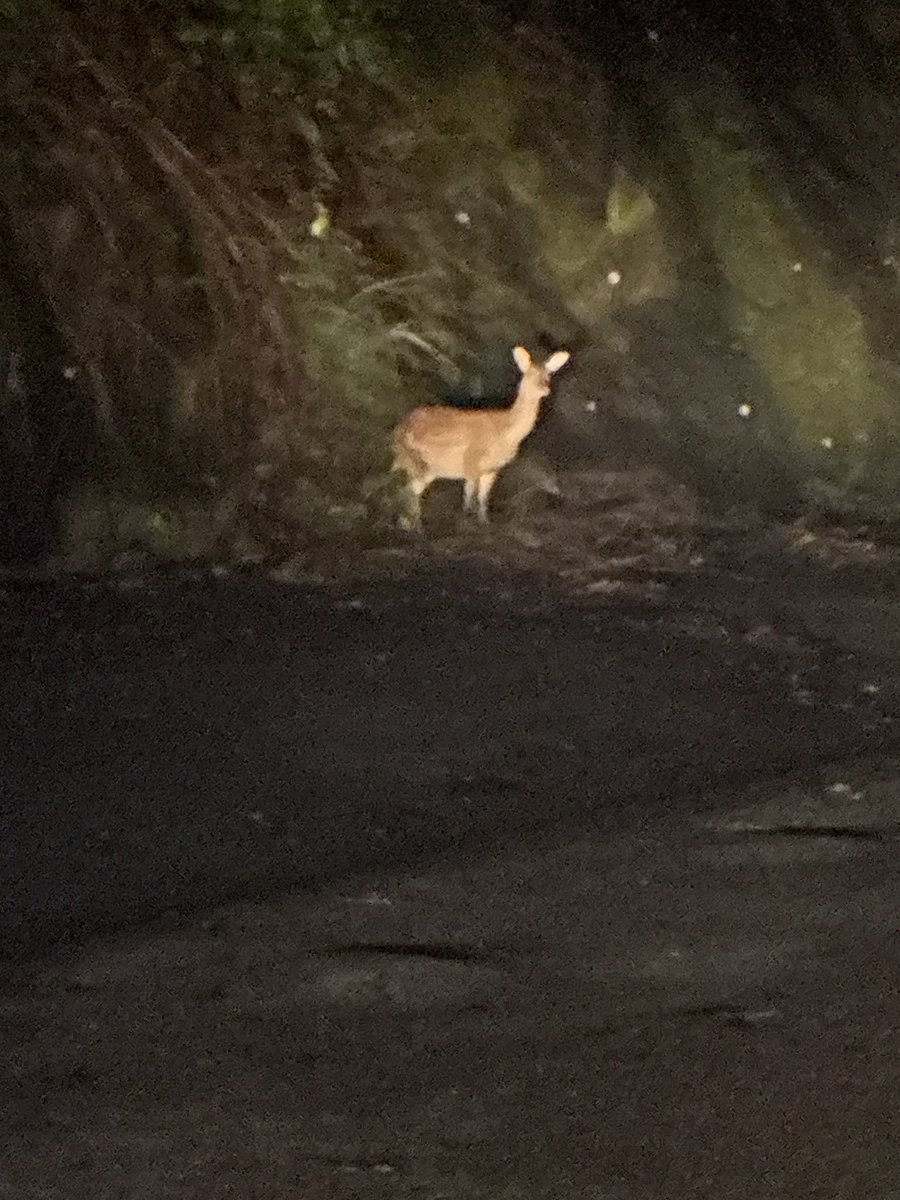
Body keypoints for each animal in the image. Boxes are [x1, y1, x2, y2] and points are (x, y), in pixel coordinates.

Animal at [391, 345, 571, 529]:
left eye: (548, 375)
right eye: (529, 374)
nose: (545, 389)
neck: (506, 433)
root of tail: (398, 431)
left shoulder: (491, 469)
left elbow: (483, 499)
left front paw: (484, 523)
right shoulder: (471, 460)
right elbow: (469, 495)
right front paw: (465, 522)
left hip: (426, 468)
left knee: (410, 489)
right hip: (416, 461)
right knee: (407, 490)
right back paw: (414, 526)